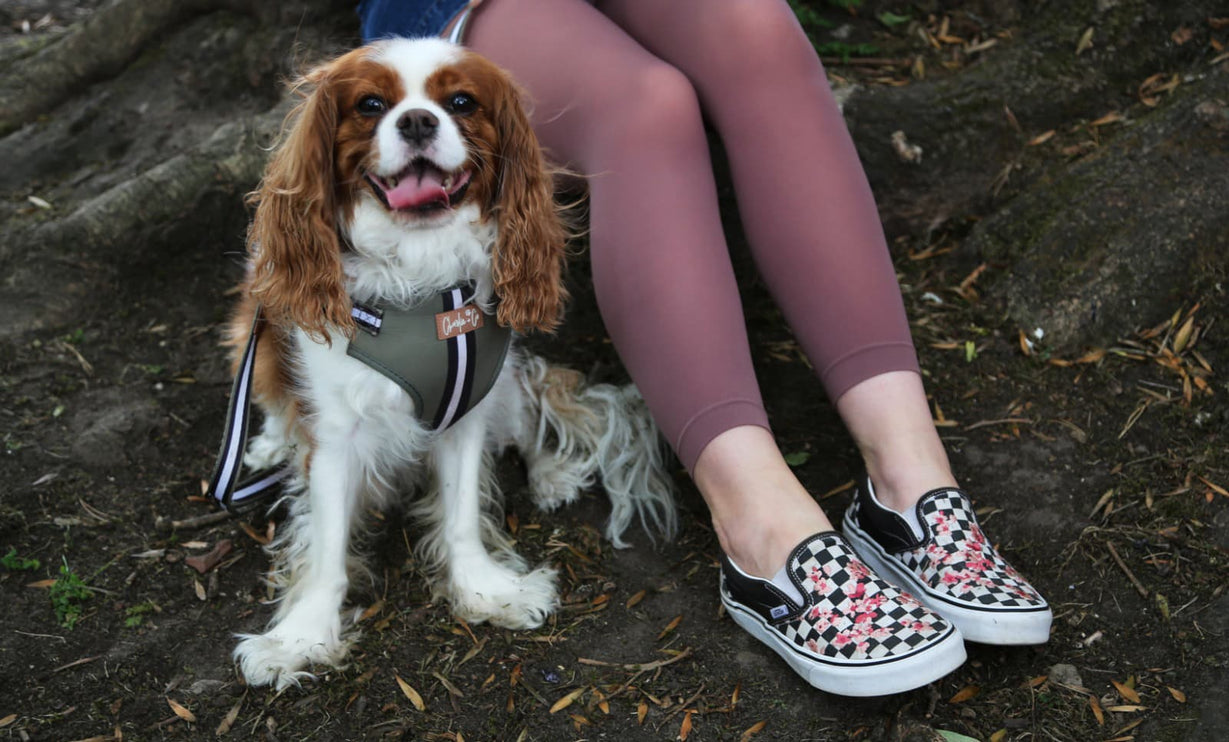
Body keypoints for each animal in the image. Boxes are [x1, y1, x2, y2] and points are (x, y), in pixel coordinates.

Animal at [229, 39, 673, 687]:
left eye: (461, 102)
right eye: (370, 105)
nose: (417, 121)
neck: (419, 274)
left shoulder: (467, 408)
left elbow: (462, 513)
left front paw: (485, 590)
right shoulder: (333, 436)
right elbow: (328, 545)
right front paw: (302, 637)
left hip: (502, 385)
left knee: (524, 418)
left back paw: (552, 473)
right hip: (249, 336)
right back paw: (267, 442)